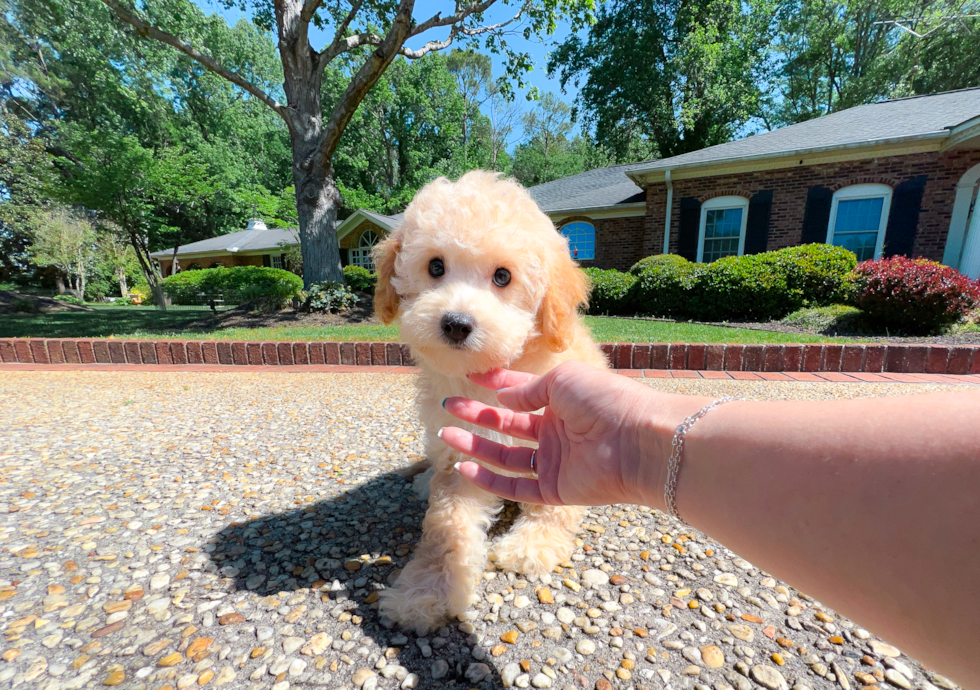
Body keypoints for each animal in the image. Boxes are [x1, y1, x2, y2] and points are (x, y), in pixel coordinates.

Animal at [374, 169, 608, 632]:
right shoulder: (462, 448)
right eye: (435, 266)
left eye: (503, 277)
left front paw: (532, 545)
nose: (456, 324)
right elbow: (446, 523)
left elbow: (557, 505)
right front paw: (424, 592)